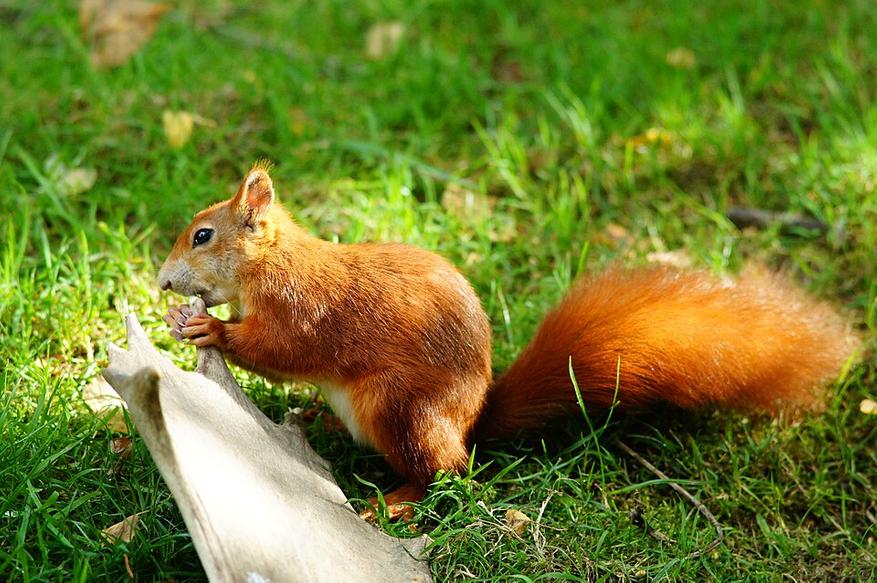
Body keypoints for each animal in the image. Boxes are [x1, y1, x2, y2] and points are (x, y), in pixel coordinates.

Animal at [158, 162, 860, 520]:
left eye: (202, 236)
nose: (162, 280)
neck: (272, 266)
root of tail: (472, 420)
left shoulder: (304, 313)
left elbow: (279, 353)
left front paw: (208, 328)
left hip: (401, 409)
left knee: (448, 473)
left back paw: (396, 501)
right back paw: (321, 424)